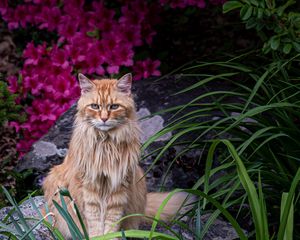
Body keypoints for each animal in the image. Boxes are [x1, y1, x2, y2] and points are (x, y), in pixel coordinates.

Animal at [42, 73, 192, 238]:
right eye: (95, 106)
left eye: (114, 107)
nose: (104, 118)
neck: (106, 144)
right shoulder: (90, 189)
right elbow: (95, 223)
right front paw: (98, 238)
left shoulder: (119, 189)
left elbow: (111, 224)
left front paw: (109, 237)